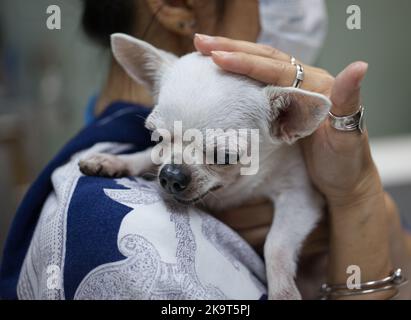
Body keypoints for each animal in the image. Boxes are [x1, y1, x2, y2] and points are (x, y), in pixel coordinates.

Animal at [79, 33, 332, 298]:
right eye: (156, 139)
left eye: (224, 157)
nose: (171, 175)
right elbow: (147, 157)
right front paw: (115, 160)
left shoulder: (300, 196)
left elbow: (276, 244)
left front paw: (283, 291)